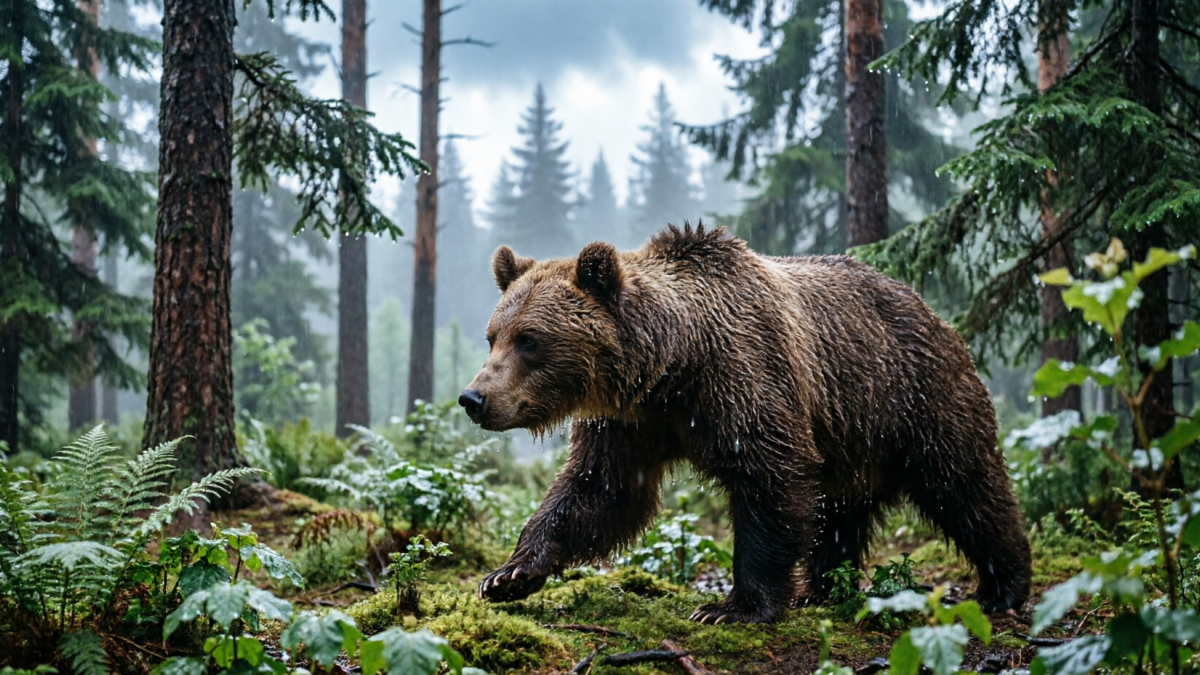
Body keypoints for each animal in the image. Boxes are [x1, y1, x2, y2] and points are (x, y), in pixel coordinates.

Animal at [459, 224, 1031, 624]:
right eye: (493, 336)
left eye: (530, 339)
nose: (474, 397)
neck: (673, 367)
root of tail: (936, 313)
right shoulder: (631, 422)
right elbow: (600, 490)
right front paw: (508, 574)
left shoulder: (744, 376)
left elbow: (769, 478)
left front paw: (731, 607)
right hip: (851, 437)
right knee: (840, 513)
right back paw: (819, 589)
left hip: (912, 398)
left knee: (965, 485)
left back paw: (1003, 587)